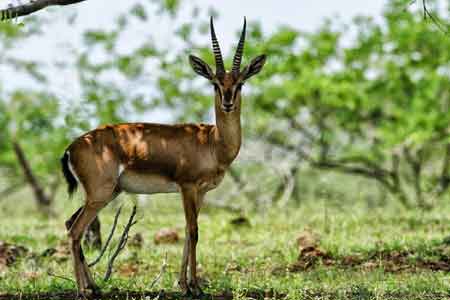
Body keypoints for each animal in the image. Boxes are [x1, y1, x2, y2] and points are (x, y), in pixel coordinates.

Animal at [59, 17, 264, 296]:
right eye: (215, 84)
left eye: (240, 83)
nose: (228, 103)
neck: (212, 141)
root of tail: (73, 146)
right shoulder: (187, 187)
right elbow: (193, 231)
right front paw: (195, 287)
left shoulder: (201, 192)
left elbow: (189, 232)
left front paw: (184, 285)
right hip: (100, 194)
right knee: (75, 231)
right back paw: (82, 290)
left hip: (107, 193)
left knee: (71, 223)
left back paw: (94, 287)